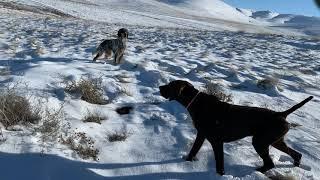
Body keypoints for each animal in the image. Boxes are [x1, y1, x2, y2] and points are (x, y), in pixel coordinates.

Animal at [159, 80, 314, 176]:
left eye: (170, 85)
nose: (160, 87)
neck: (196, 102)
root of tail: (281, 114)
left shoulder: (216, 142)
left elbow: (219, 163)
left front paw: (220, 175)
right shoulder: (201, 135)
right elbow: (193, 151)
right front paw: (186, 162)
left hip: (260, 142)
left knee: (270, 164)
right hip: (275, 141)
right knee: (296, 154)